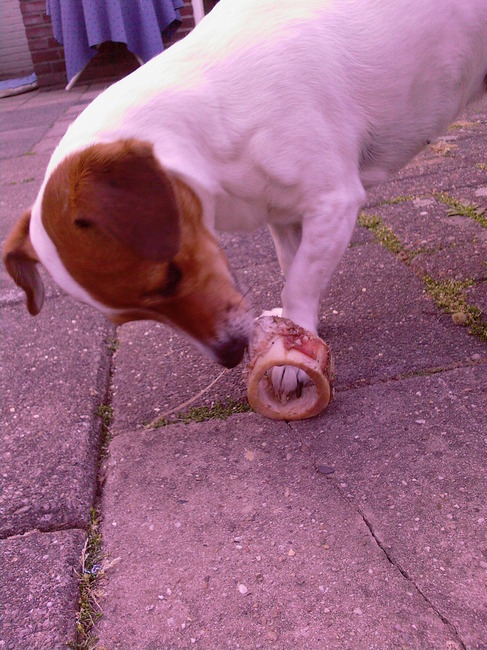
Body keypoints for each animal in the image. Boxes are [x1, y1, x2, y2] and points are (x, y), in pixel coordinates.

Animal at [3, 0, 487, 400]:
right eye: (131, 320)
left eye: (170, 278)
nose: (231, 355)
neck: (213, 114)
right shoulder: (285, 214)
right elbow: (293, 267)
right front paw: (299, 329)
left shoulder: (334, 201)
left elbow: (300, 281)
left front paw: (291, 353)